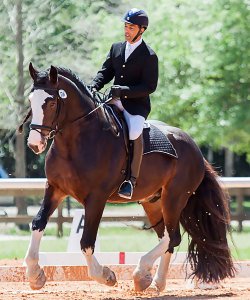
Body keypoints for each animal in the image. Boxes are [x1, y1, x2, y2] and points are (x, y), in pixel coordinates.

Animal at [22, 62, 235, 290]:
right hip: (153, 202)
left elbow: (86, 241)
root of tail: (195, 148)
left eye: (52, 103)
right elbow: (38, 223)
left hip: (174, 198)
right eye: (30, 101)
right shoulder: (55, 188)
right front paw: (35, 274)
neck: (76, 142)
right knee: (167, 238)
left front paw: (105, 275)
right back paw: (154, 282)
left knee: (173, 237)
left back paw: (142, 271)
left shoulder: (96, 197)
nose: (34, 144)